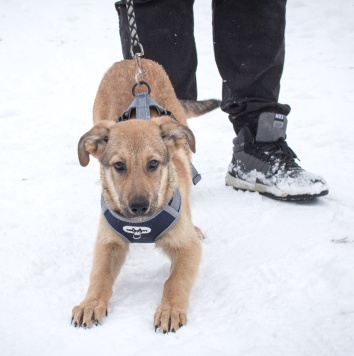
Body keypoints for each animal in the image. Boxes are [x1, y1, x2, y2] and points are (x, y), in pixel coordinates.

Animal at [71, 58, 220, 334]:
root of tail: (132, 60)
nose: (139, 206)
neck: (141, 226)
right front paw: (91, 303)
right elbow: (99, 275)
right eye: (119, 166)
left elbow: (175, 280)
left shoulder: (188, 249)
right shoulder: (107, 242)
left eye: (153, 164)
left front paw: (170, 309)